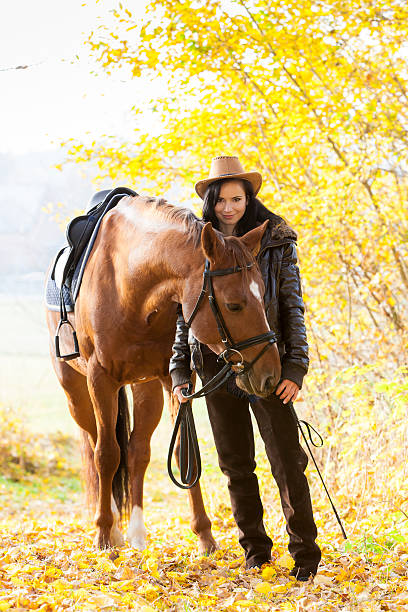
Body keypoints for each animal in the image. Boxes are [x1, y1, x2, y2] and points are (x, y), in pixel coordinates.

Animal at [45, 195, 280, 548]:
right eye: (234, 304)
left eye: (263, 293)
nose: (270, 374)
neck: (130, 284)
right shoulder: (101, 379)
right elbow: (106, 454)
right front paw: (103, 535)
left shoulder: (175, 379)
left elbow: (184, 452)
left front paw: (205, 535)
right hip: (76, 391)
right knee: (98, 443)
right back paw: (114, 529)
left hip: (146, 388)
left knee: (137, 451)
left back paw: (138, 534)